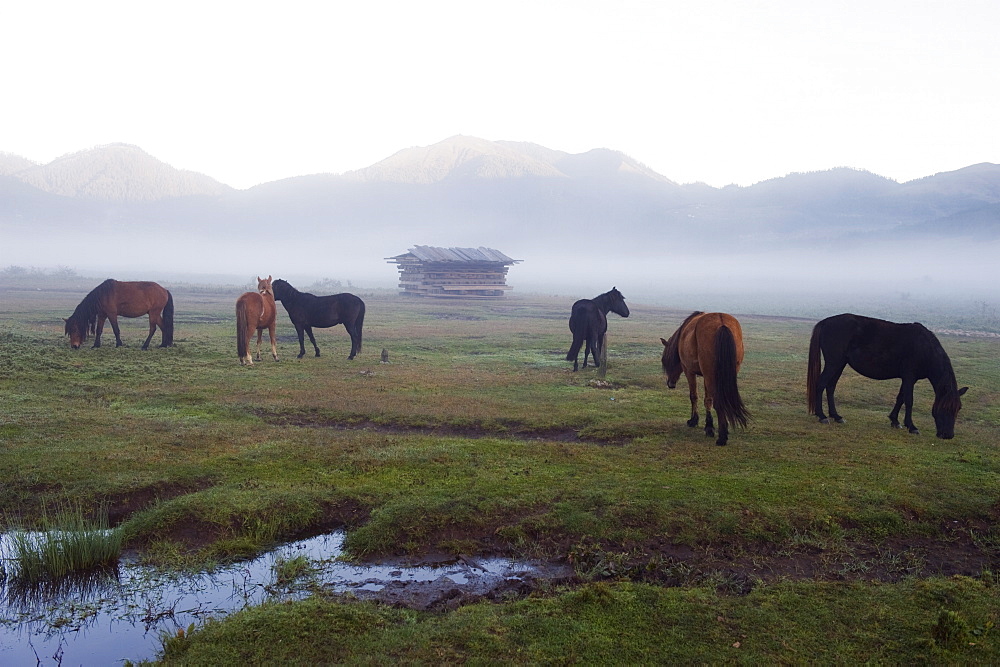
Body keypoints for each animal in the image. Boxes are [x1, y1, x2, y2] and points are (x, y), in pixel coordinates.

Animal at [660, 310, 748, 446]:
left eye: (665, 360)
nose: (670, 384)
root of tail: (721, 322)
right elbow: (707, 400)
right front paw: (708, 425)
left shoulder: (689, 371)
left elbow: (694, 396)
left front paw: (695, 421)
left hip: (709, 375)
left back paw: (722, 437)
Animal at [804, 314, 968, 438]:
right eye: (944, 407)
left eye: (958, 408)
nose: (948, 435)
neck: (925, 348)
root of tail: (825, 322)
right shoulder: (909, 377)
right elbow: (909, 400)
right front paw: (912, 426)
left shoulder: (907, 378)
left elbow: (901, 398)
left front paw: (895, 421)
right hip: (834, 363)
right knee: (821, 384)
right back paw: (822, 416)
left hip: (840, 364)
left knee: (830, 387)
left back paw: (836, 416)